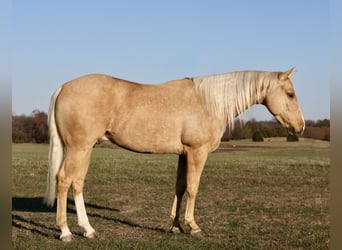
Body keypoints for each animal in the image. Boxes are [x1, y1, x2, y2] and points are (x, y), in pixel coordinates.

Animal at [44, 67, 304, 241]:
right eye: (290, 94)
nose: (300, 127)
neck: (208, 102)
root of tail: (64, 87)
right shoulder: (197, 152)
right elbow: (193, 188)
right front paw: (193, 227)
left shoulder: (184, 154)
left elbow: (180, 187)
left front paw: (175, 226)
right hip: (78, 148)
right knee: (64, 180)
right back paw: (65, 231)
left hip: (87, 149)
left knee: (77, 183)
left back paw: (88, 229)